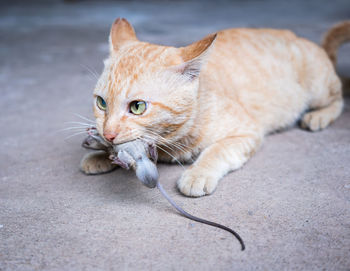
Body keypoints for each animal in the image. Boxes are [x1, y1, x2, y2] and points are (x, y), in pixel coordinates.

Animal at [80, 18, 348, 198]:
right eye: (101, 103)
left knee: (339, 99)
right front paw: (101, 154)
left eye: (137, 107)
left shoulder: (248, 131)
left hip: (319, 88)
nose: (108, 134)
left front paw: (198, 174)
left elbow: (217, 151)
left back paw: (318, 116)